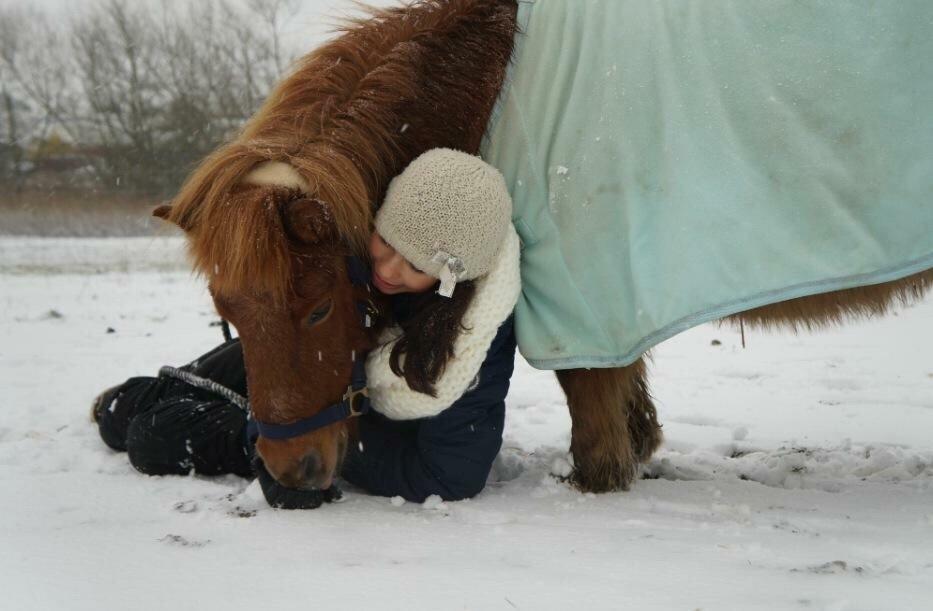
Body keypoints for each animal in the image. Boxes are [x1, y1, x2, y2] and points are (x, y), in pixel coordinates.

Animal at [160, 0, 932, 494]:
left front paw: (599, 478)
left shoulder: (583, 298)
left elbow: (591, 405)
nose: (292, 470)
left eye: (318, 310)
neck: (489, 84)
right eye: (227, 313)